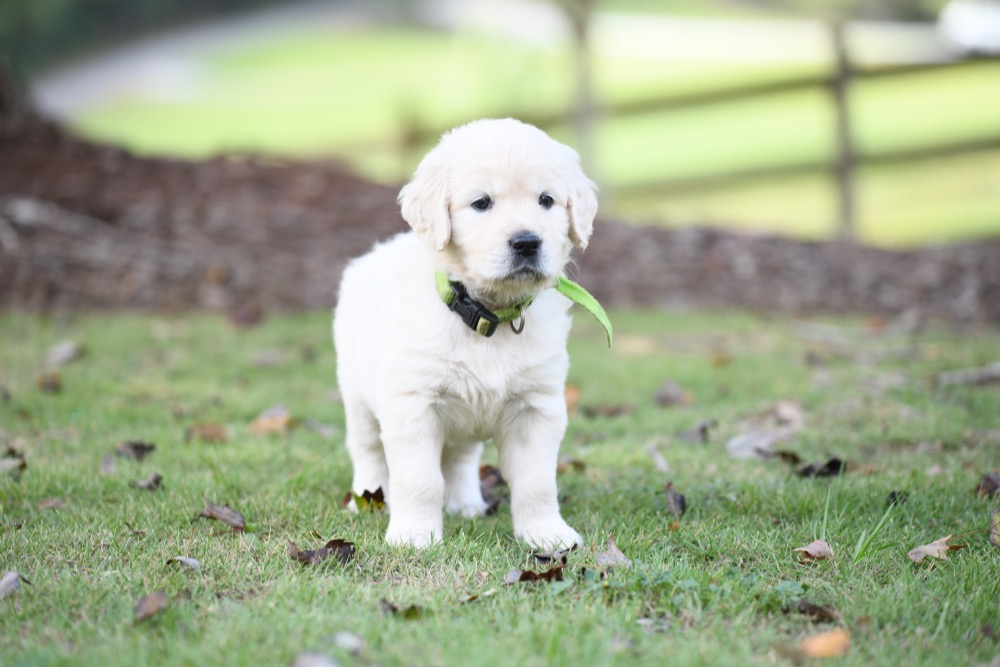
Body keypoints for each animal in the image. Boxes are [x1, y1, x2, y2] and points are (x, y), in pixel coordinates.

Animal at [334, 117, 600, 552]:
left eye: (546, 200)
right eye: (481, 203)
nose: (527, 242)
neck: (487, 314)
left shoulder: (536, 407)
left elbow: (538, 482)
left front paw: (547, 534)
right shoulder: (413, 403)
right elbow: (419, 478)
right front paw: (414, 535)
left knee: (459, 458)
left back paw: (466, 503)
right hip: (358, 397)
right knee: (368, 450)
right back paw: (367, 499)